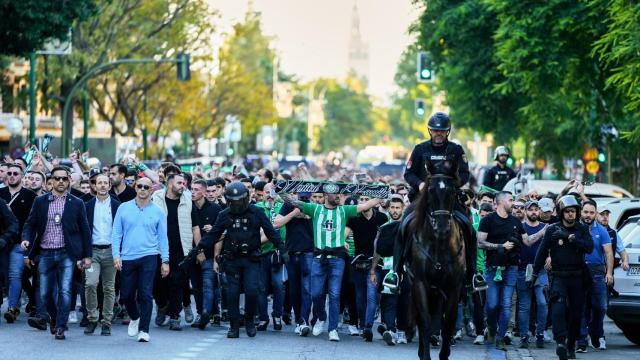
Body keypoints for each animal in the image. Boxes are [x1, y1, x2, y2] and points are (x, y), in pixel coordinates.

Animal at [404, 175, 464, 360]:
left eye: (452, 192)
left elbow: (449, 321)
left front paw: (445, 353)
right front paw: (425, 355)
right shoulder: (420, 283)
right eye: (430, 191)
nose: (442, 227)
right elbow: (425, 320)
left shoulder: (453, 287)